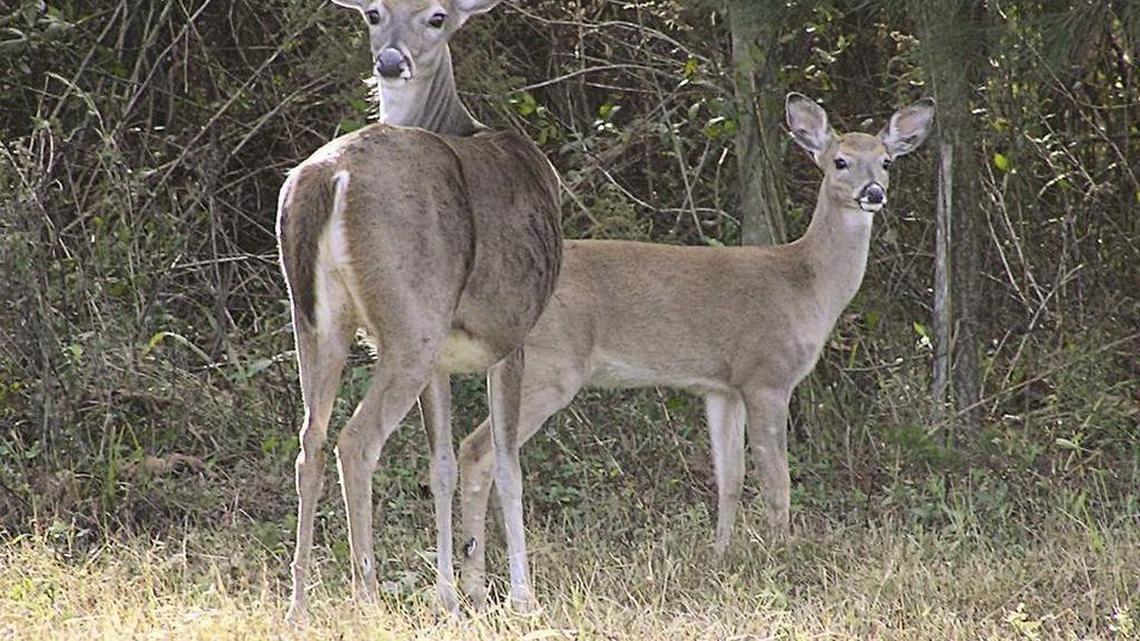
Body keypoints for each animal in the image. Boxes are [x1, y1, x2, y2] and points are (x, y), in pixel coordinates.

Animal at [277, 0, 560, 621]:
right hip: (410, 326)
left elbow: (445, 465)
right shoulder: (511, 334)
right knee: (355, 443)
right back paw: (367, 595)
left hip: (315, 321)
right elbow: (507, 465)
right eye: (373, 13)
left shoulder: (445, 361)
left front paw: (459, 594)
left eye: (436, 17)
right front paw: (520, 597)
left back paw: (298, 604)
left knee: (310, 441)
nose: (390, 60)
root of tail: (329, 176)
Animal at [456, 92, 935, 609]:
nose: (874, 192)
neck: (806, 286)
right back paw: (479, 588)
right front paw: (784, 557)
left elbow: (731, 477)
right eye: (840, 161)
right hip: (551, 367)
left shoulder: (721, 387)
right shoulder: (767, 375)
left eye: (886, 161)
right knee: (478, 450)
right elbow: (777, 480)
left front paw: (722, 554)